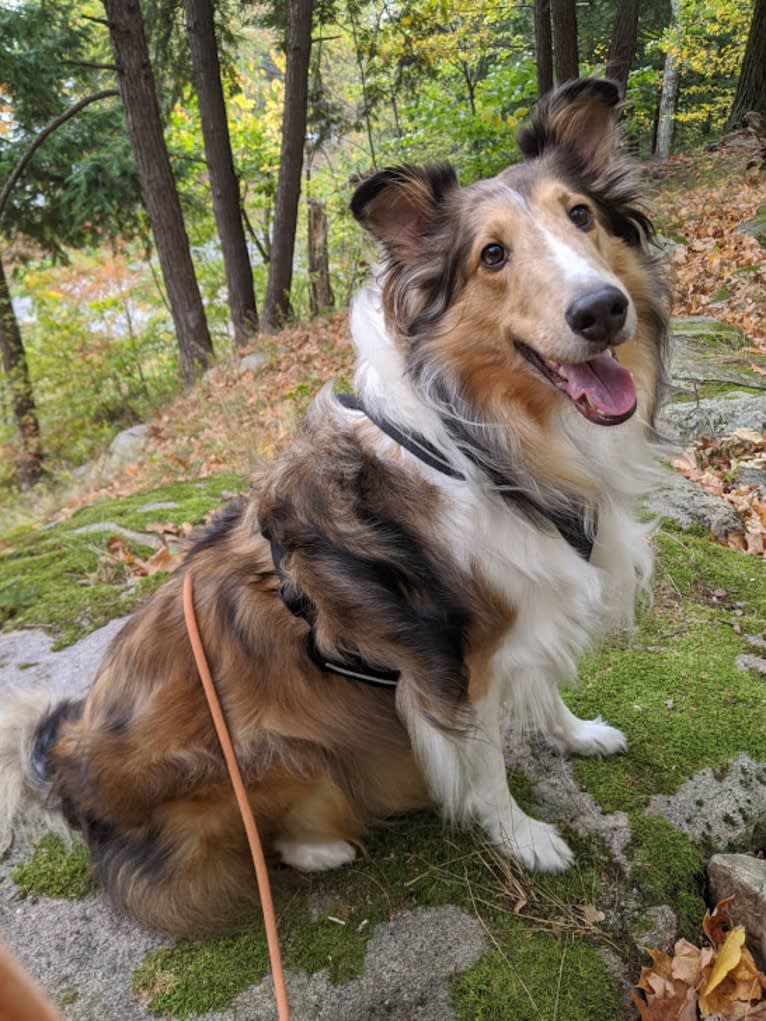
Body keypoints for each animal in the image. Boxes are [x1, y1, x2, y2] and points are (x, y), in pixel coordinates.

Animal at [0, 79, 665, 935]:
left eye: (580, 214)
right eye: (492, 256)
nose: (601, 310)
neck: (482, 440)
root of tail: (68, 772)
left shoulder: (517, 615)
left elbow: (545, 687)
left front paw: (578, 734)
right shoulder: (450, 664)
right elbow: (483, 767)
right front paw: (525, 838)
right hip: (273, 754)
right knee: (267, 839)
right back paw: (324, 848)